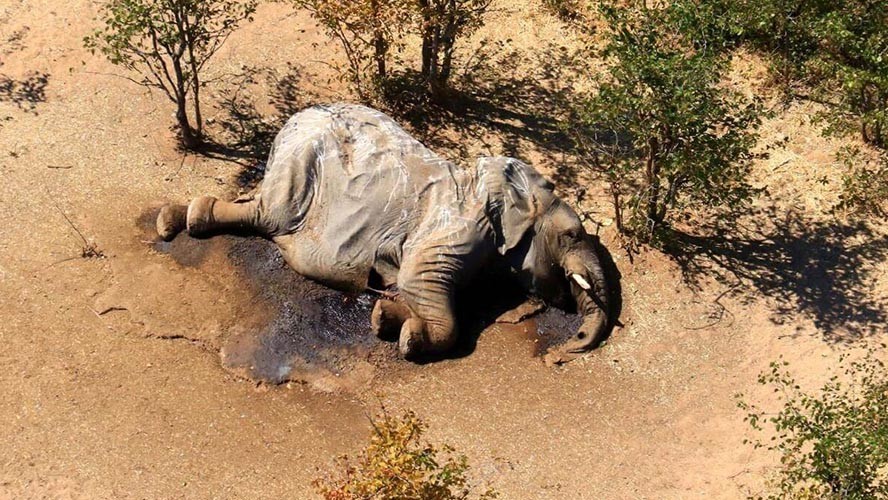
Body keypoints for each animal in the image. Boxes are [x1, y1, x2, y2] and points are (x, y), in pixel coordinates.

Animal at [156, 103, 615, 364]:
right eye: (572, 235)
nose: (562, 354)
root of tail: (294, 118)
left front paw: (384, 318)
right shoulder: (456, 228)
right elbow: (419, 282)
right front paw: (410, 338)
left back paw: (174, 219)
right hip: (300, 163)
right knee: (269, 215)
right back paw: (180, 220)